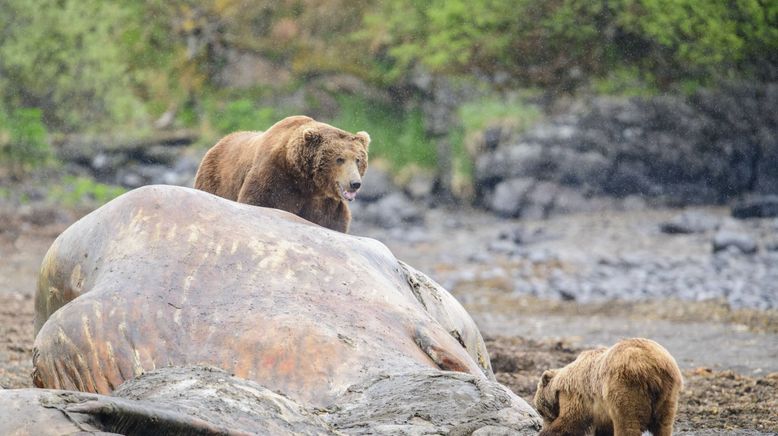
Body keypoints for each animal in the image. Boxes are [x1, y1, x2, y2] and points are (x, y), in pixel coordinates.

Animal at [191, 115, 366, 232]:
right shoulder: (274, 178)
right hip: (215, 179)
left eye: (358, 159)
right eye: (339, 159)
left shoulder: (325, 203)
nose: (355, 183)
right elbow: (258, 200)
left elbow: (333, 222)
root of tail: (219, 142)